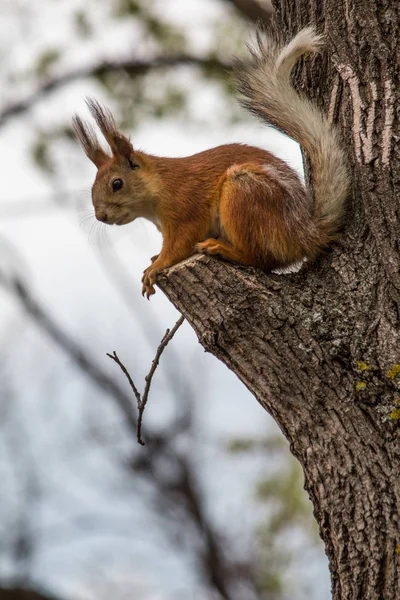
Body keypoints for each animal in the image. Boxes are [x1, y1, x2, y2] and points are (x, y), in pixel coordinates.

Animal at [73, 25, 348, 298]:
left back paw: (223, 249)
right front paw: (154, 260)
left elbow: (179, 245)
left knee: (262, 259)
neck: (159, 188)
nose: (101, 216)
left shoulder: (186, 210)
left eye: (116, 184)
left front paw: (156, 266)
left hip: (245, 194)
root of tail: (303, 234)